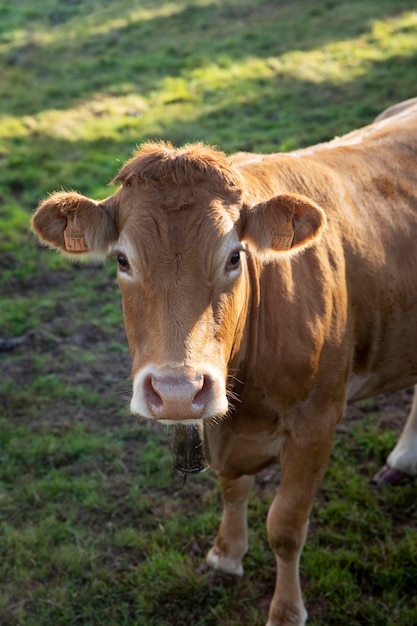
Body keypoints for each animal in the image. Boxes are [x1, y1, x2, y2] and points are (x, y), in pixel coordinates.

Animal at [31, 98, 416, 624]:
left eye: (234, 256)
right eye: (122, 260)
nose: (177, 392)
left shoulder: (317, 423)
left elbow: (286, 525)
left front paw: (286, 610)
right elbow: (232, 488)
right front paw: (226, 556)